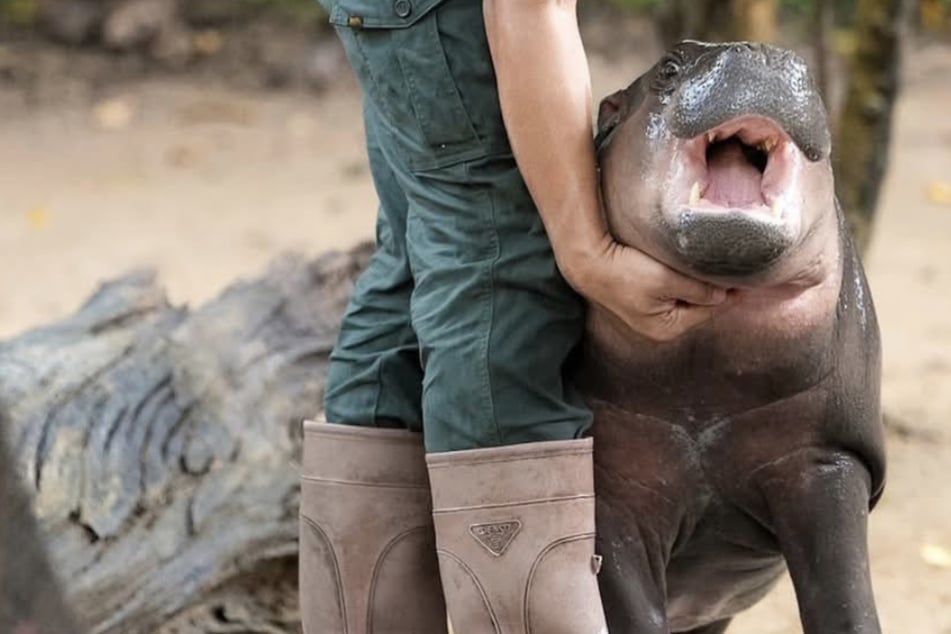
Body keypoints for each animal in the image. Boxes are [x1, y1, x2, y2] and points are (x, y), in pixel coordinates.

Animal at [583, 41, 885, 633]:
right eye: (669, 67)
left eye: (810, 75)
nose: (760, 55)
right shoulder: (614, 479)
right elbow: (631, 609)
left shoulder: (824, 458)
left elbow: (846, 599)